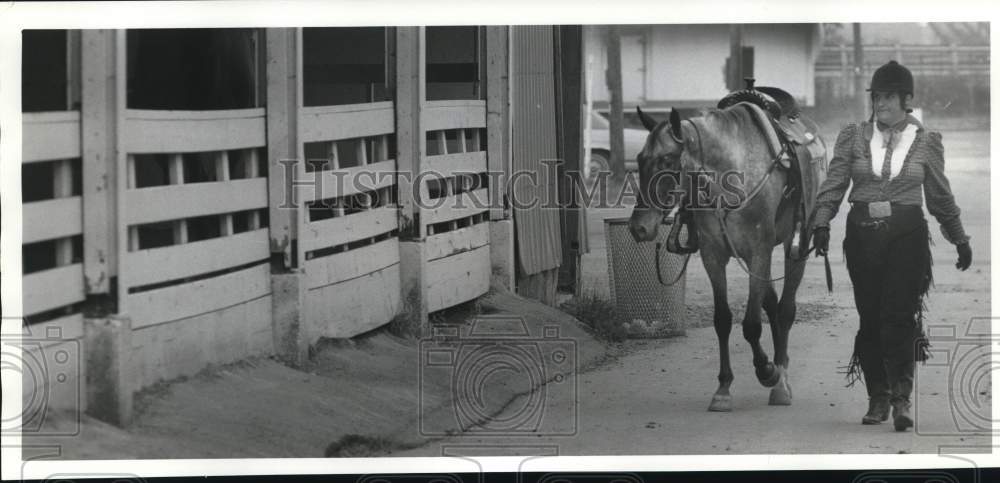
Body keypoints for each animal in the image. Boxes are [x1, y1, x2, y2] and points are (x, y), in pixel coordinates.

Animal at [632, 106, 820, 412]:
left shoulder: (759, 252)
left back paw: (781, 379)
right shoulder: (713, 256)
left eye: (667, 160)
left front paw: (767, 371)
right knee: (771, 304)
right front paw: (723, 388)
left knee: (785, 309)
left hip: (795, 247)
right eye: (640, 159)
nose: (638, 227)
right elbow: (722, 320)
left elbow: (752, 325)